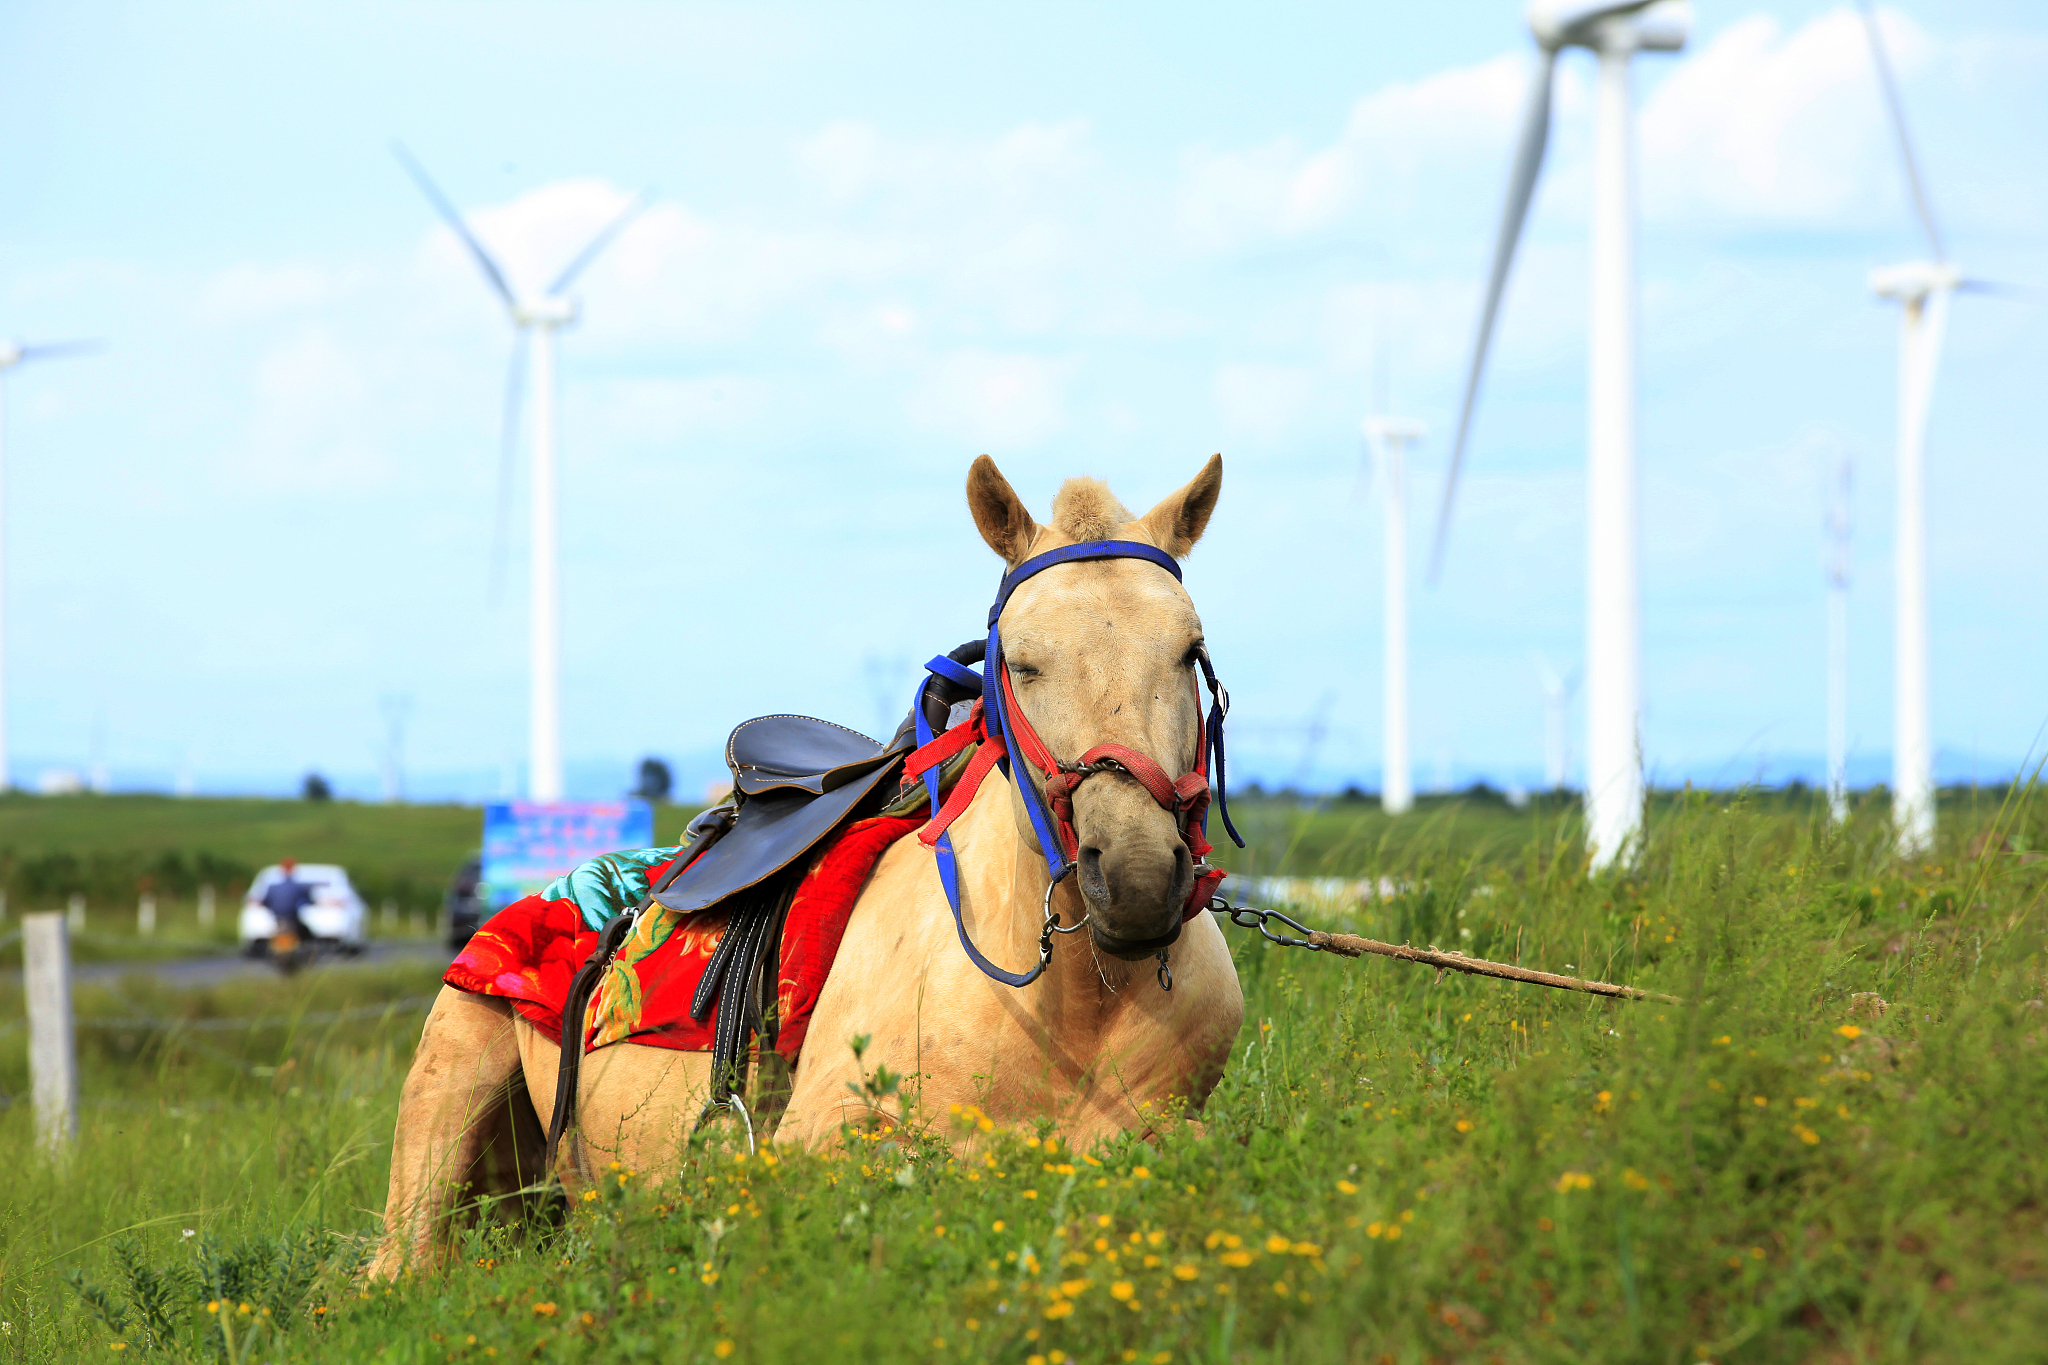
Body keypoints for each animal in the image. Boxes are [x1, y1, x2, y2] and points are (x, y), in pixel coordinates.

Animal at [376, 458, 1253, 1285]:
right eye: (1024, 662)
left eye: (1191, 651)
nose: (1137, 878)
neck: (1073, 995)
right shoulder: (818, 1141)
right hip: (447, 1096)